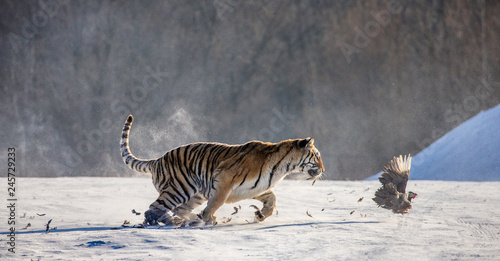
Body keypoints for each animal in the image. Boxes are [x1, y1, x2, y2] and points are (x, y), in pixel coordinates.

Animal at [119, 114, 326, 225]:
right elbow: (217, 201)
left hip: (196, 193)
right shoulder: (224, 178)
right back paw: (171, 221)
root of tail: (157, 160)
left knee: (178, 209)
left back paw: (190, 219)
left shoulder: (256, 188)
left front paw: (261, 215)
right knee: (154, 209)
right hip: (179, 188)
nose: (323, 169)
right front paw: (208, 217)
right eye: (317, 156)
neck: (283, 167)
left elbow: (273, 198)